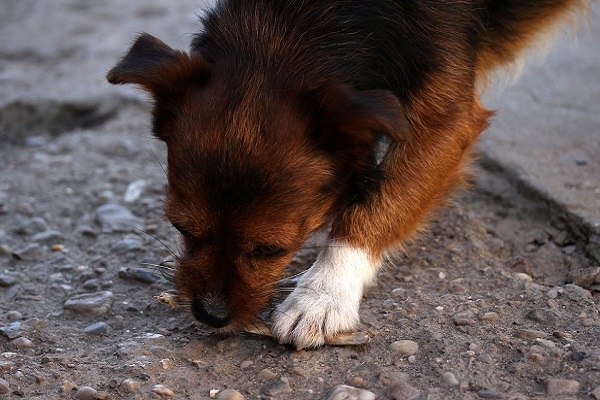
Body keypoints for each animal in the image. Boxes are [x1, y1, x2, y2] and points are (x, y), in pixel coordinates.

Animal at [108, 0, 584, 350]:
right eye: (180, 228)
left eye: (270, 250)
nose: (210, 314)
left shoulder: (448, 122)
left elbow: (373, 207)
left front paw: (323, 294)